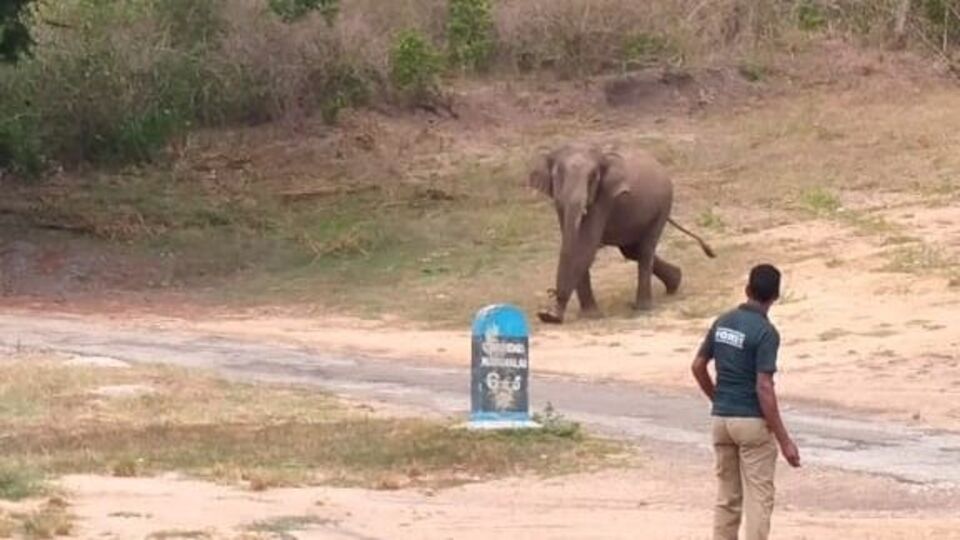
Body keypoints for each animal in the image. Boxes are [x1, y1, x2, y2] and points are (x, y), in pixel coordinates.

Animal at [528, 142, 716, 324]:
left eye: (593, 177)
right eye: (557, 176)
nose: (549, 310)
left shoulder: (604, 196)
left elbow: (585, 245)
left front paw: (555, 316)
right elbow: (576, 242)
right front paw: (573, 315)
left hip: (662, 206)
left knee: (645, 250)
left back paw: (643, 307)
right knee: (632, 251)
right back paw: (675, 281)